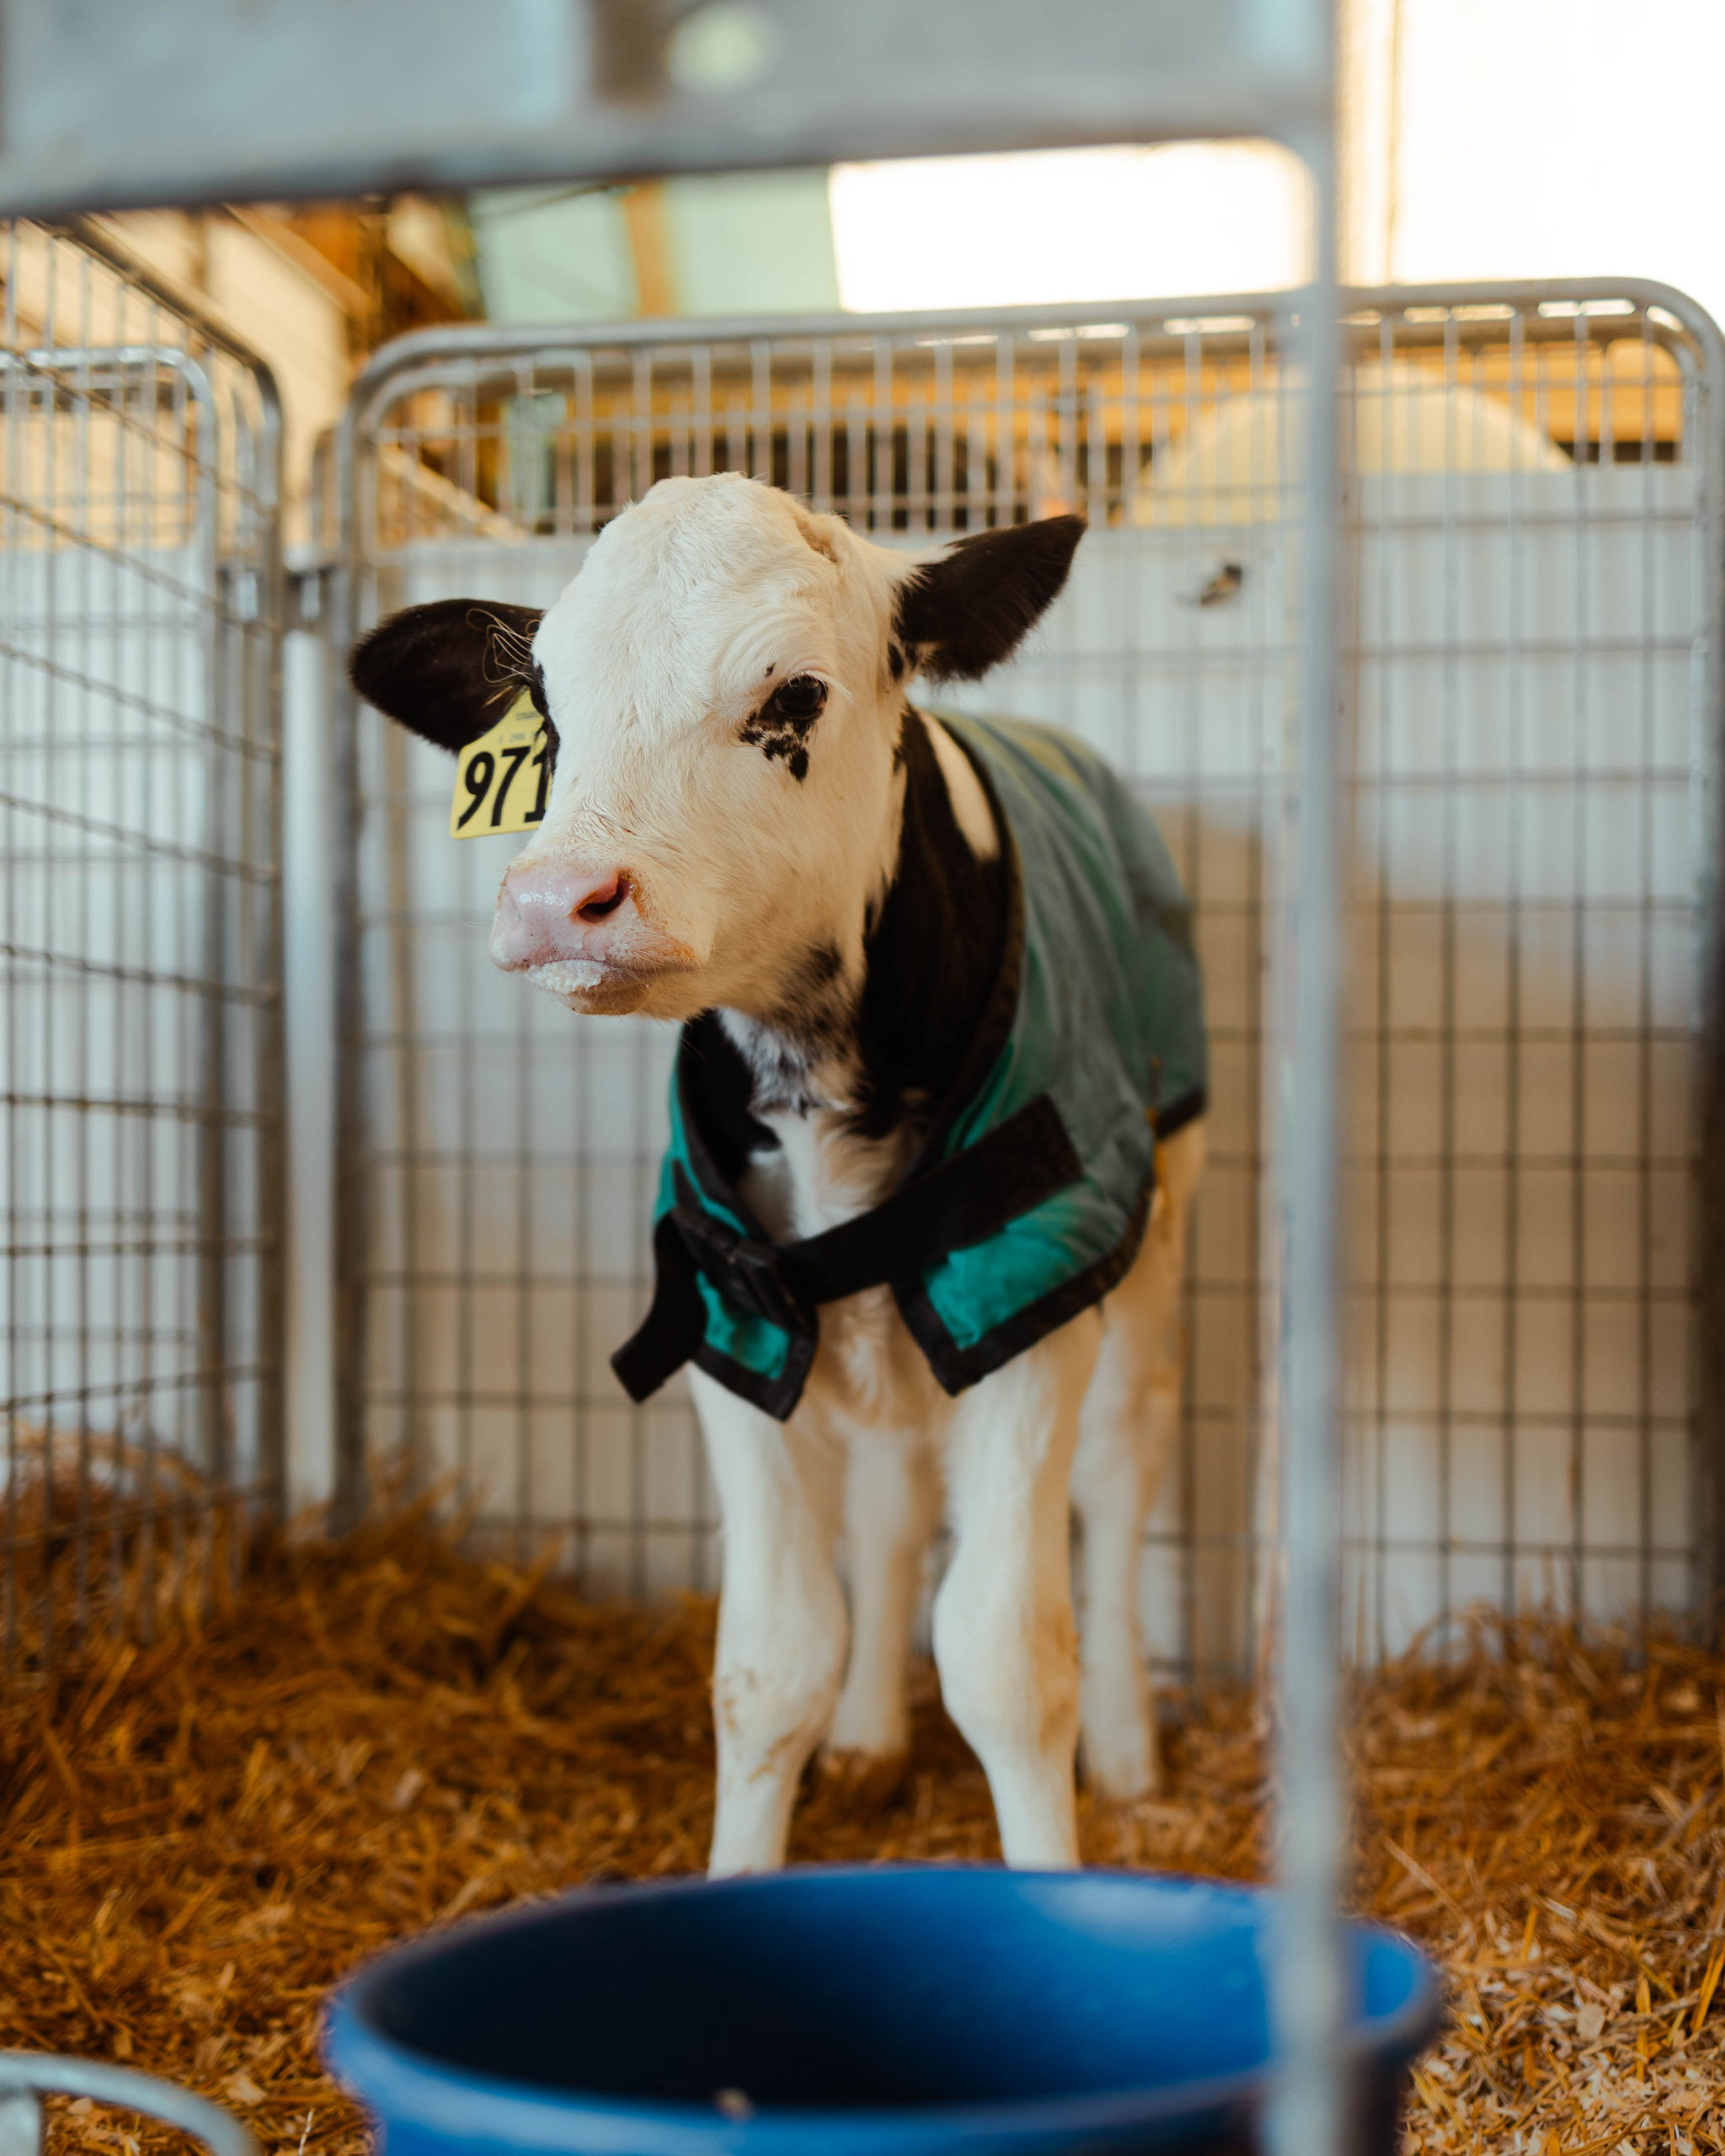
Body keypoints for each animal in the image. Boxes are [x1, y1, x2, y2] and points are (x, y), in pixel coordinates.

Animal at [350, 473, 1207, 1875]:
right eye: (548, 709)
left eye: (793, 695)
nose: (556, 897)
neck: (812, 1087)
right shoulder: (726, 1305)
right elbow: (768, 1663)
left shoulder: (1028, 1286)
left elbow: (1006, 1661)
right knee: (894, 1497)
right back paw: (868, 1739)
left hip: (1156, 1195)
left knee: (1123, 1463)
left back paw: (1131, 1755)